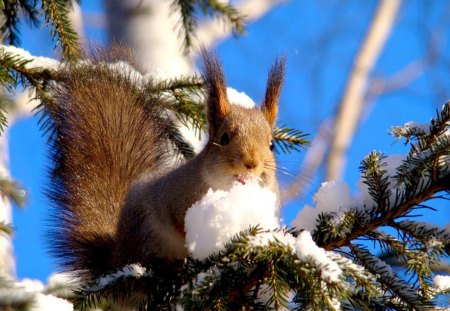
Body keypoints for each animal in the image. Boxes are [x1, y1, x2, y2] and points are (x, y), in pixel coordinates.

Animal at [48, 48, 284, 282]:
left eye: (271, 145)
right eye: (224, 138)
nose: (251, 163)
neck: (229, 189)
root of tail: (117, 256)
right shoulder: (172, 197)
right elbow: (178, 224)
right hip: (147, 236)